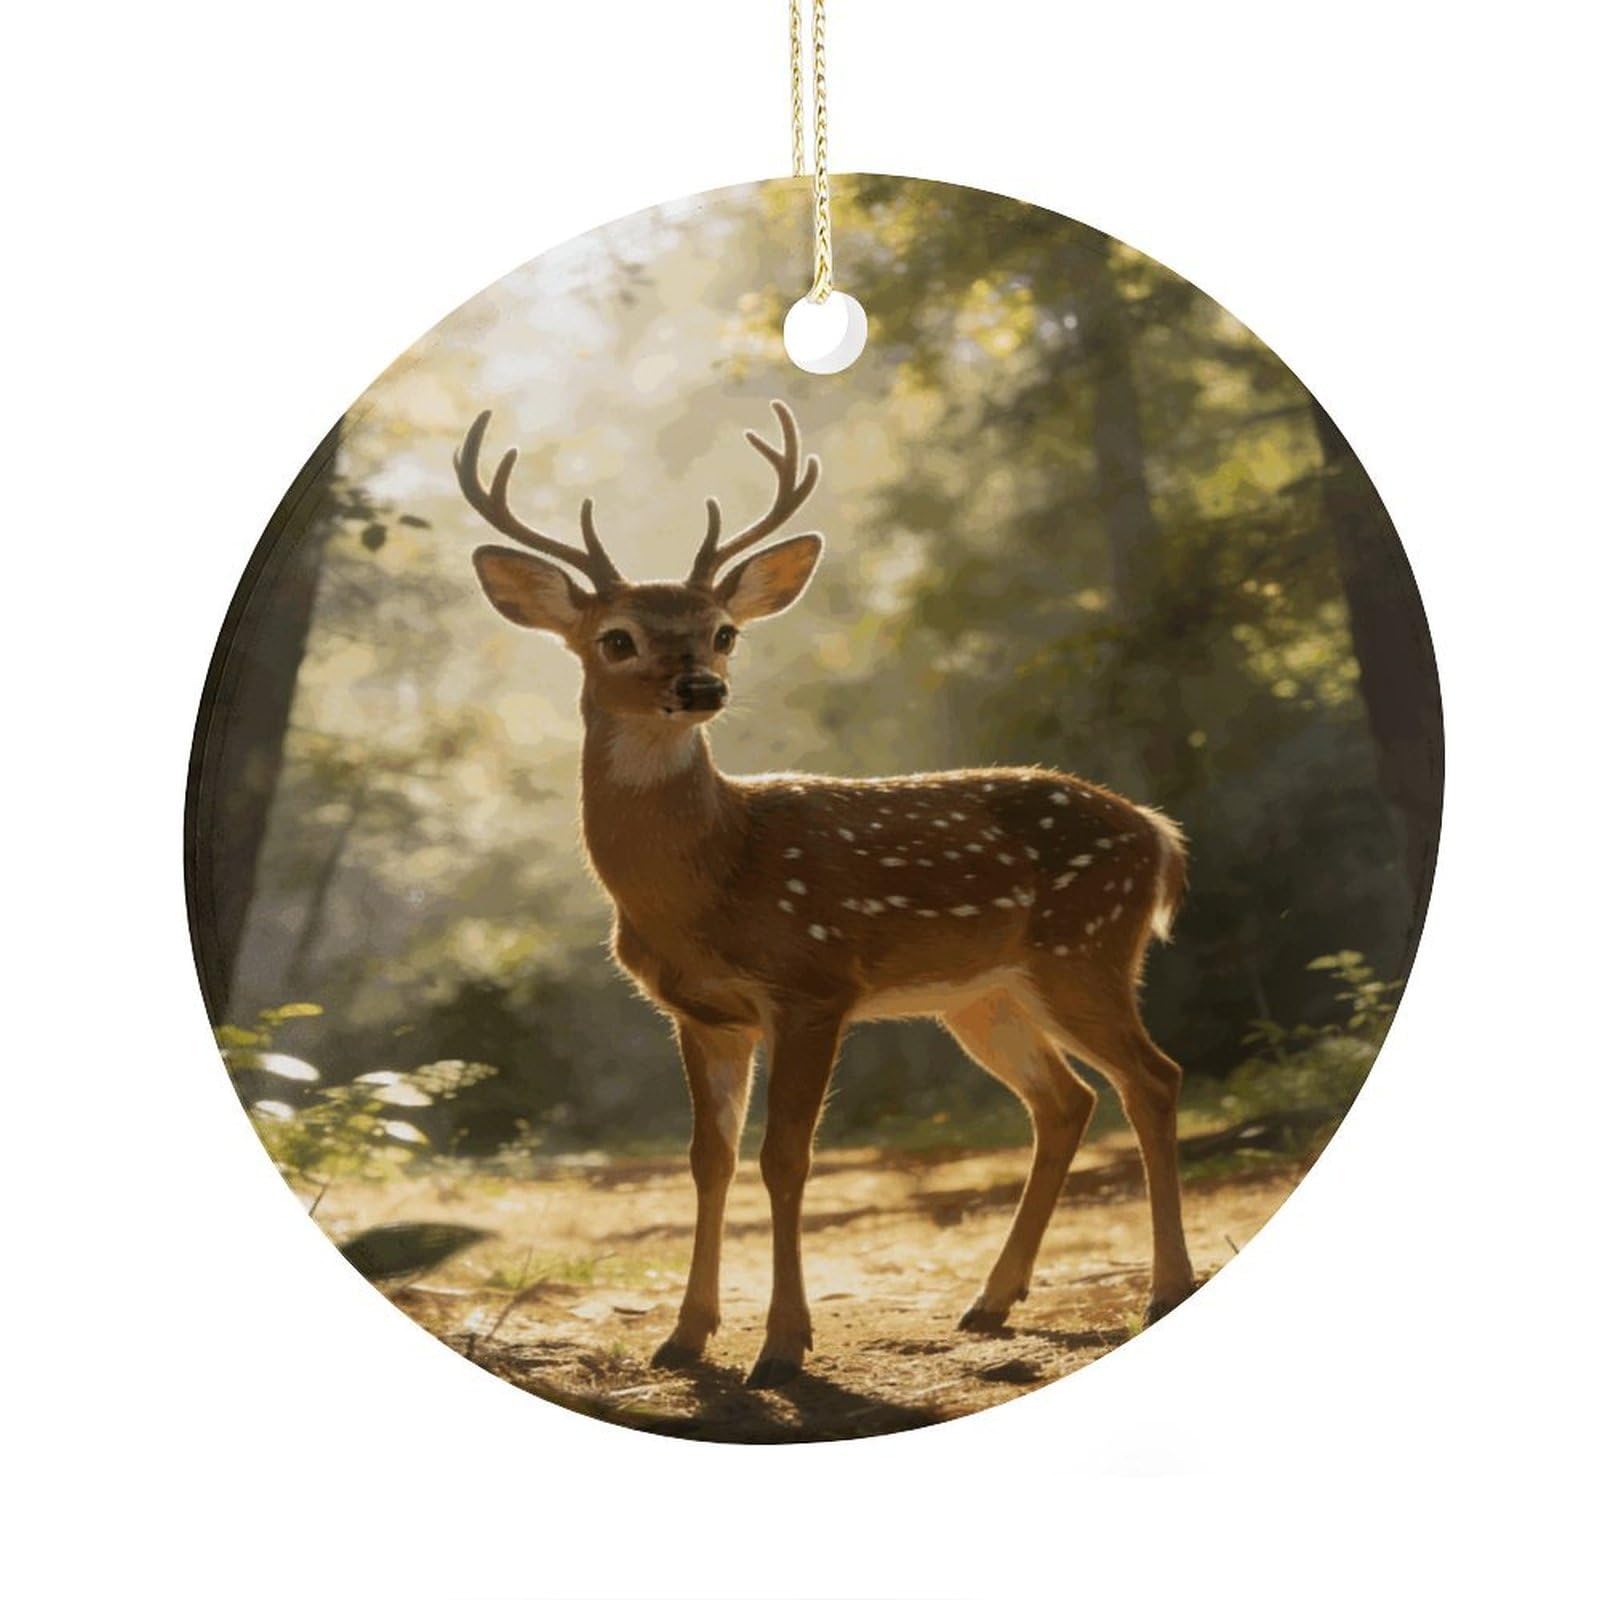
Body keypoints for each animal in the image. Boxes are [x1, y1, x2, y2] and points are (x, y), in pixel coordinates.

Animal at [456, 399, 1196, 1387]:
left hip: (1086, 949)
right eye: (617, 638)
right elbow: (710, 1160)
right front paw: (684, 1338)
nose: (701, 686)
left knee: (1152, 1077)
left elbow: (785, 1158)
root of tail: (1158, 833)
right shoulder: (701, 1012)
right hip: (983, 994)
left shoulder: (811, 983)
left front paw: (780, 1347)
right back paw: (989, 1302)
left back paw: (1164, 1289)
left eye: (724, 629)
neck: (708, 877)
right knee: (1064, 1101)